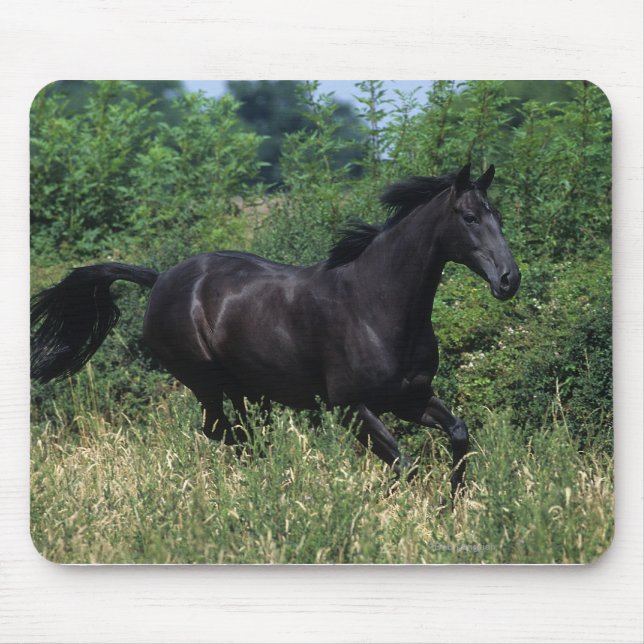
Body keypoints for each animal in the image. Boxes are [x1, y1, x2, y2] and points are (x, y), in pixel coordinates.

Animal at [31, 163, 520, 497]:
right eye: (470, 217)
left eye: (497, 214)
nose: (508, 280)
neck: (376, 305)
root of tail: (161, 278)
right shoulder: (352, 408)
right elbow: (405, 464)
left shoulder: (410, 398)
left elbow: (459, 435)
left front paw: (449, 506)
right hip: (205, 382)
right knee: (225, 432)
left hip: (248, 388)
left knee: (244, 433)